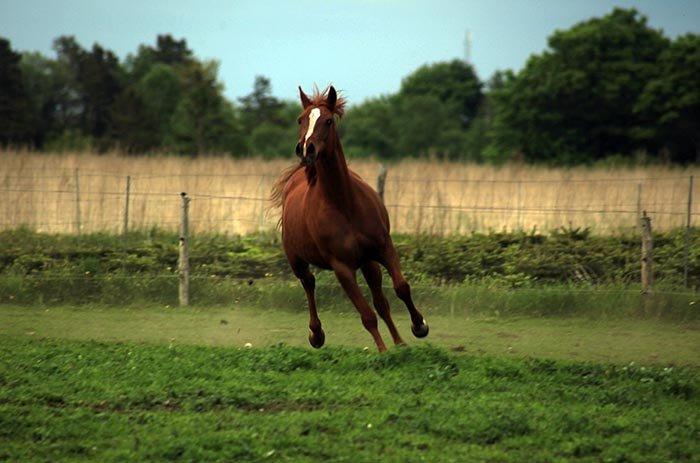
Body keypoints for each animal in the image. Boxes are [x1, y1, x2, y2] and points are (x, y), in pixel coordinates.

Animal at [270, 85, 430, 352]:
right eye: (300, 119)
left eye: (328, 120)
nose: (305, 150)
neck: (344, 205)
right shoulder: (342, 268)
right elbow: (366, 315)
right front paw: (383, 352)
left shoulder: (384, 248)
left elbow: (400, 288)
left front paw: (418, 328)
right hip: (298, 261)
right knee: (309, 284)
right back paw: (316, 334)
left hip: (368, 262)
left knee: (381, 302)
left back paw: (399, 342)